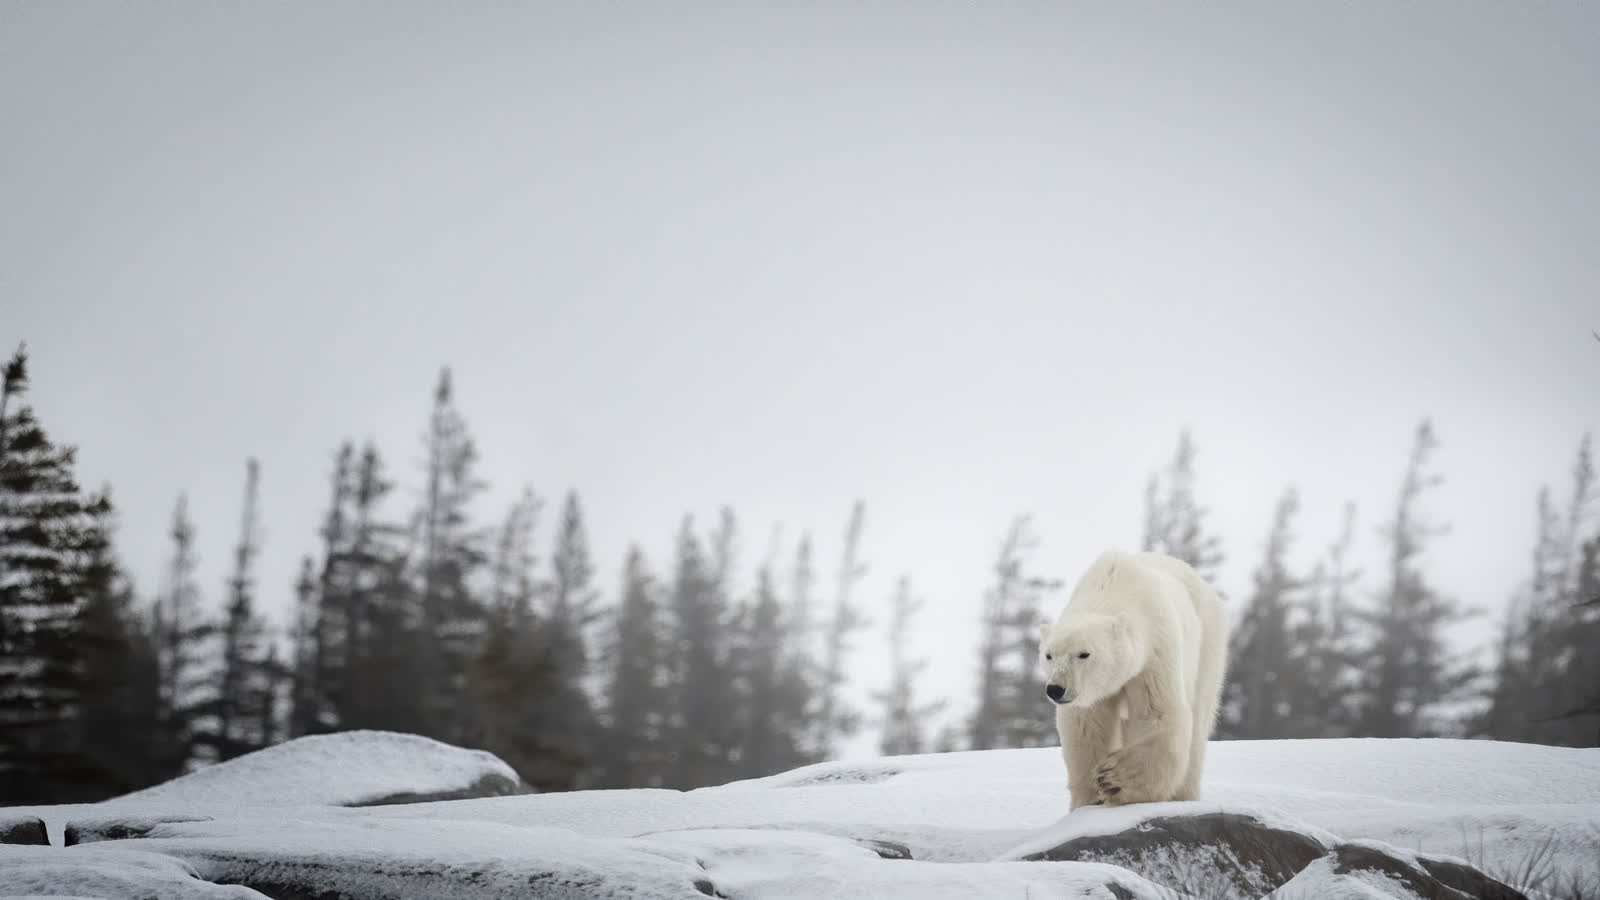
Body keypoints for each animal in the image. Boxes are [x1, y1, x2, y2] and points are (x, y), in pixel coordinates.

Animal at [1037, 549, 1227, 811]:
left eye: (1084, 654)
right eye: (1049, 655)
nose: (1056, 689)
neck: (1116, 586)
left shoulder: (1155, 652)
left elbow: (1158, 714)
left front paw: (1112, 780)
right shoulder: (1093, 692)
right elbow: (1086, 725)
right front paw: (1089, 799)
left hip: (1207, 643)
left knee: (1198, 719)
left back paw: (1184, 796)